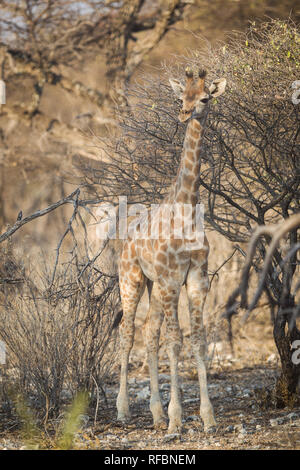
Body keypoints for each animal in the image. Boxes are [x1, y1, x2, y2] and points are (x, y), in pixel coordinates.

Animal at [116, 67, 226, 434]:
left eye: (204, 98)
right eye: (181, 98)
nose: (184, 114)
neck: (187, 210)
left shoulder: (196, 278)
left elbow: (198, 339)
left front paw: (207, 418)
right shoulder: (170, 280)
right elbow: (175, 341)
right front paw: (177, 420)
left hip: (152, 285)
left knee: (150, 334)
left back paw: (155, 414)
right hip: (132, 279)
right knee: (128, 333)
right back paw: (123, 411)